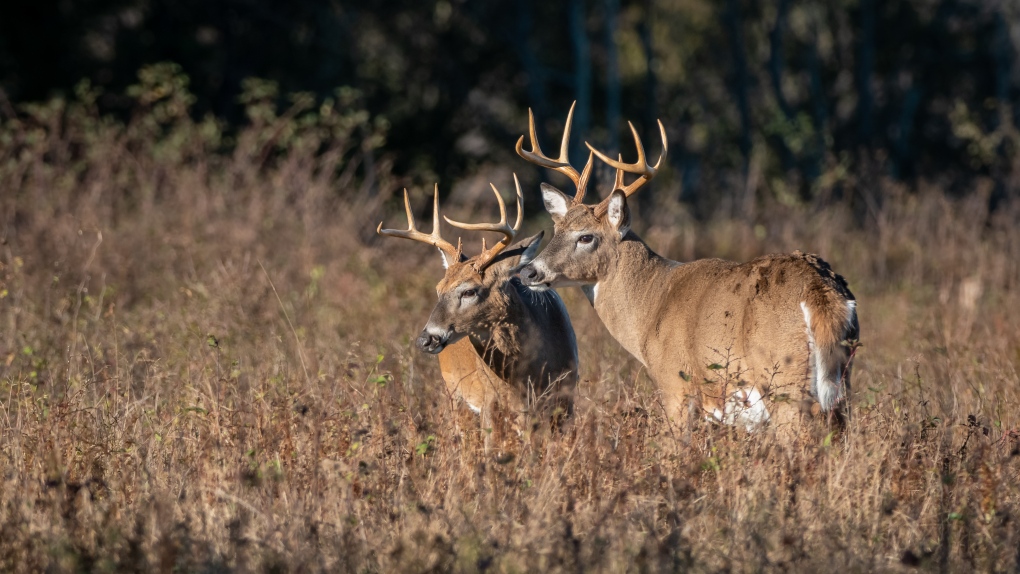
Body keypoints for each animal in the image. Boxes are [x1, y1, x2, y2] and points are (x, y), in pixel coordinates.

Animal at [377, 176, 583, 444]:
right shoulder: (491, 398)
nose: (425, 339)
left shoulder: (566, 395)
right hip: (454, 391)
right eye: (438, 289)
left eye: (469, 291)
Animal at [514, 105, 856, 434]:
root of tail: (819, 290)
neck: (650, 305)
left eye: (586, 236)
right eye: (556, 230)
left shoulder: (674, 382)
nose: (529, 272)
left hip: (784, 377)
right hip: (842, 380)